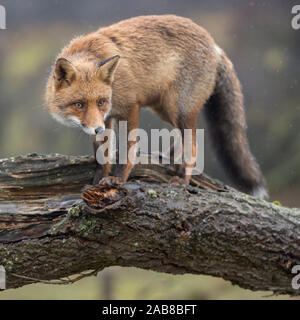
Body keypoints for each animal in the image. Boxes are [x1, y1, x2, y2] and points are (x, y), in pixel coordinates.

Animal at [46, 15, 268, 200]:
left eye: (101, 102)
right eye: (79, 105)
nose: (97, 129)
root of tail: (215, 45)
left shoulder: (129, 107)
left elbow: (127, 150)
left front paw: (117, 180)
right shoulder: (106, 119)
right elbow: (103, 156)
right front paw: (96, 182)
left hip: (178, 108)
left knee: (193, 144)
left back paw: (183, 179)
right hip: (164, 108)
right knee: (183, 137)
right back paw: (169, 158)